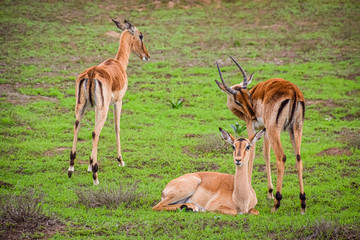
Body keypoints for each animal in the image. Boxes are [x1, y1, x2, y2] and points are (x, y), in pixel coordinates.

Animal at [67, 18, 149, 185]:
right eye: (141, 35)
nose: (147, 55)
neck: (119, 64)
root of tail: (92, 73)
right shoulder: (118, 102)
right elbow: (117, 128)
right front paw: (120, 161)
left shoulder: (94, 108)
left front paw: (89, 164)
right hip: (103, 109)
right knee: (95, 132)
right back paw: (95, 176)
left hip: (81, 108)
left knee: (77, 127)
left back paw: (71, 169)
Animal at [215, 57, 306, 215]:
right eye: (238, 100)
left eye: (248, 96)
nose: (252, 115)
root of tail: (294, 92)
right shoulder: (264, 130)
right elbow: (266, 153)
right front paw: (269, 192)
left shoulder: (252, 128)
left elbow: (251, 154)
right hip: (295, 129)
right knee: (298, 158)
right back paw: (302, 204)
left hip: (275, 130)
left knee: (281, 157)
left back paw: (276, 204)